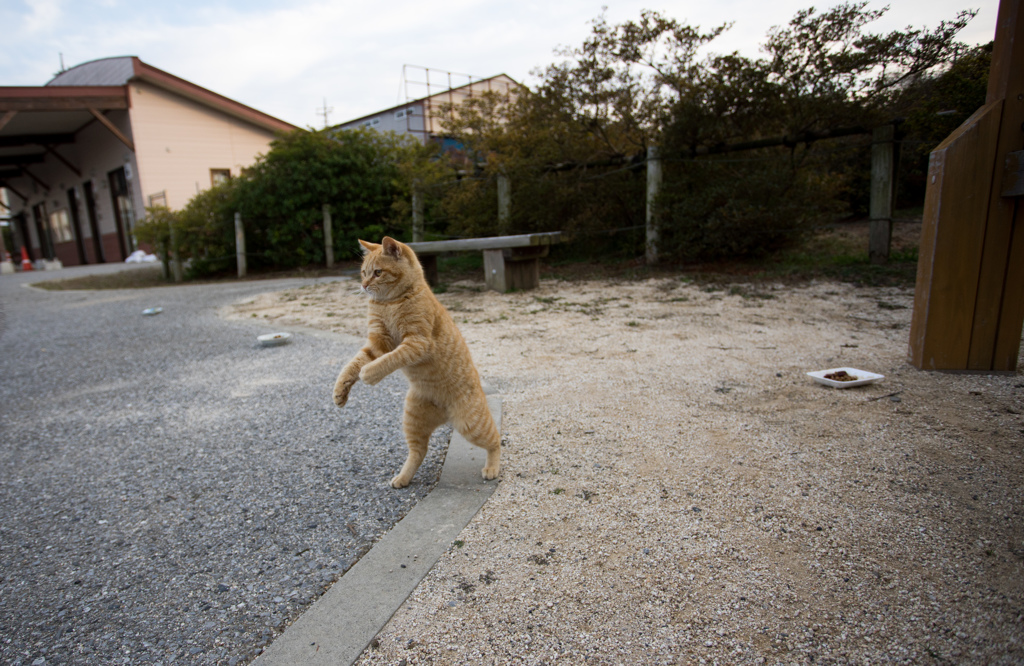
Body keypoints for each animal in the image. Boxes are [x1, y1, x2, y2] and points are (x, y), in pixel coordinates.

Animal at [331, 235, 499, 485]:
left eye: (377, 272)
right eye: (363, 272)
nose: (364, 285)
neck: (389, 304)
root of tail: (445, 415)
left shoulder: (416, 343)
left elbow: (388, 360)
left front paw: (369, 373)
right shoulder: (377, 344)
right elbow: (351, 365)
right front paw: (340, 391)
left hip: (471, 424)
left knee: (495, 439)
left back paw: (492, 468)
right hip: (412, 419)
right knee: (418, 452)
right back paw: (403, 478)